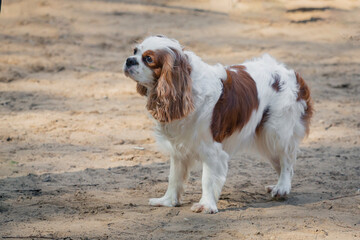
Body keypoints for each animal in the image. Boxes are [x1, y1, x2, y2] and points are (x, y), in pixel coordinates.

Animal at [121, 35, 312, 214]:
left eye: (148, 59)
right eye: (135, 51)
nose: (129, 60)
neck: (188, 87)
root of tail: (291, 73)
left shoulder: (212, 151)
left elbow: (207, 179)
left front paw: (206, 205)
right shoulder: (179, 149)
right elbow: (174, 177)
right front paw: (167, 201)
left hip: (276, 133)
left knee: (287, 161)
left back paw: (282, 187)